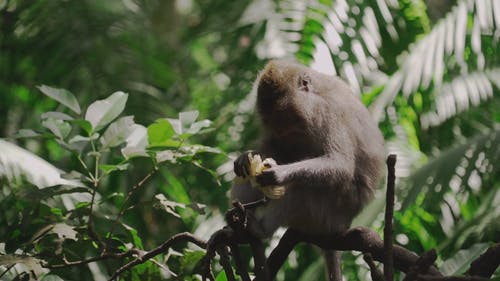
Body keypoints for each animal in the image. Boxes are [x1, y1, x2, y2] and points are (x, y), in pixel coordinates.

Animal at [231, 59, 386, 280]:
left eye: (291, 123)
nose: (285, 135)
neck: (318, 90)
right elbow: (274, 147)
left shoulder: (325, 111)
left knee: (300, 190)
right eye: (278, 126)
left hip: (327, 214)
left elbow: (340, 163)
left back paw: (260, 228)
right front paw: (247, 157)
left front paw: (279, 174)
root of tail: (343, 225)